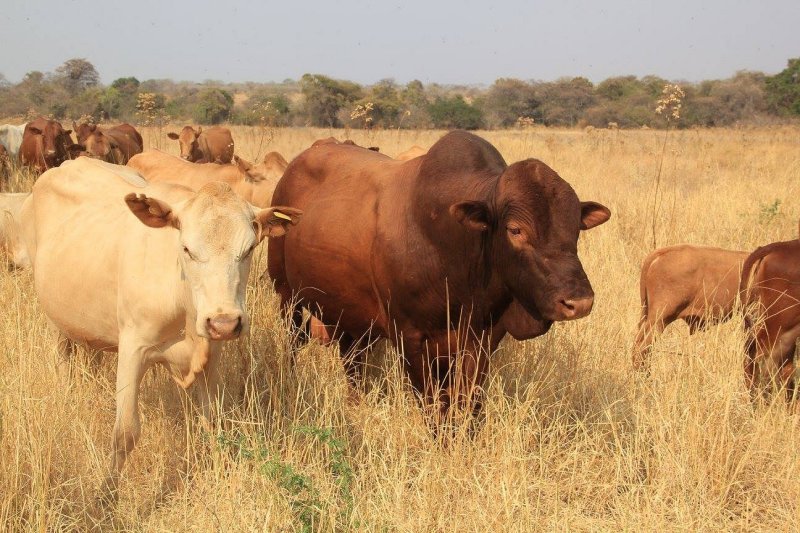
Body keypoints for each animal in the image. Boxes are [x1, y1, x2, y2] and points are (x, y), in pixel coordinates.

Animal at [24, 157, 302, 496]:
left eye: (249, 249)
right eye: (186, 248)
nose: (224, 323)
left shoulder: (212, 354)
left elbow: (214, 421)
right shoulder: (133, 349)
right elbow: (125, 433)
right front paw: (105, 495)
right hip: (55, 320)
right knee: (62, 359)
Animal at [269, 130, 610, 422]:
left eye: (574, 227)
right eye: (515, 230)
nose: (579, 302)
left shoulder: (480, 341)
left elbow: (467, 404)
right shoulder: (411, 339)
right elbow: (435, 408)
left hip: (350, 315)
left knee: (353, 360)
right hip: (287, 296)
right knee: (294, 343)